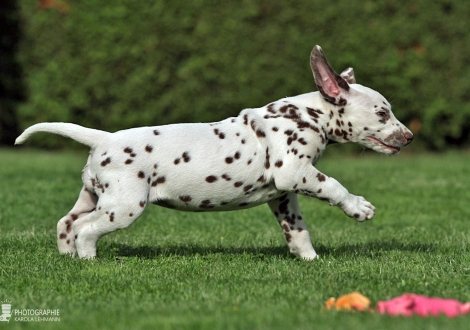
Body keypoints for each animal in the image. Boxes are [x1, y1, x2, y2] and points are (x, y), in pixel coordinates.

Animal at [14, 45, 414, 260]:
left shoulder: (284, 195)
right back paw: (90, 261)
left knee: (66, 223)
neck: (306, 115)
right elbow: (333, 186)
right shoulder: (295, 172)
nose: (409, 137)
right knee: (85, 230)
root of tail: (102, 139)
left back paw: (69, 259)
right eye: (382, 113)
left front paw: (310, 260)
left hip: (94, 196)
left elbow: (297, 229)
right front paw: (359, 208)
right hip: (124, 206)